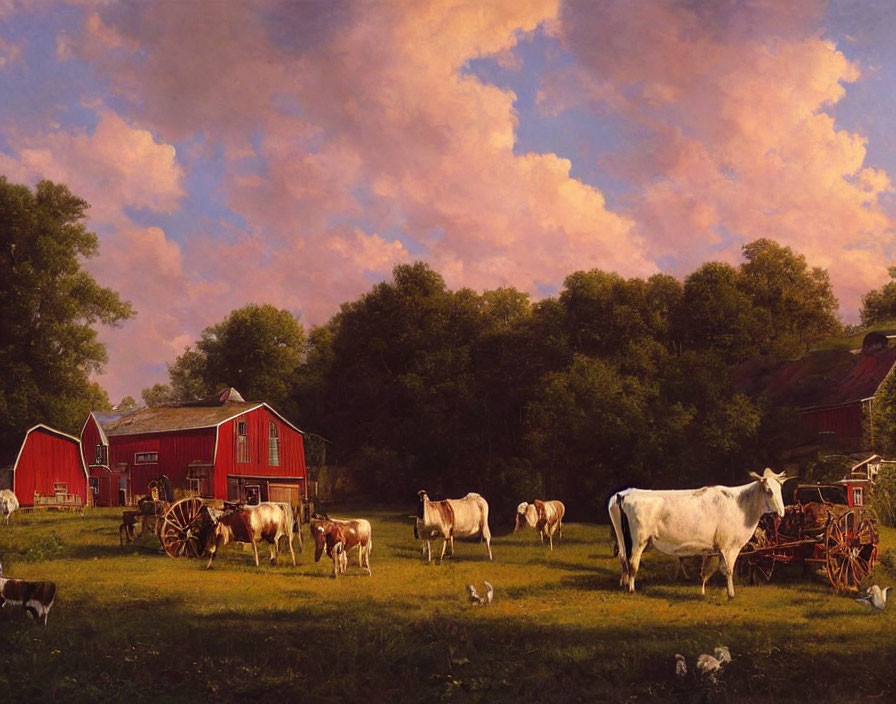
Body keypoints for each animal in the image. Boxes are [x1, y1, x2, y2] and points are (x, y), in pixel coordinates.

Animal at [608, 468, 784, 600]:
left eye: (780, 489)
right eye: (768, 491)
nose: (781, 513)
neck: (741, 504)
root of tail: (626, 493)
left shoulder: (718, 549)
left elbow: (713, 570)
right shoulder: (729, 546)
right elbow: (728, 570)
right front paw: (731, 594)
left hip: (622, 538)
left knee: (623, 558)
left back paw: (624, 584)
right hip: (639, 540)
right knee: (632, 562)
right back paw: (631, 589)